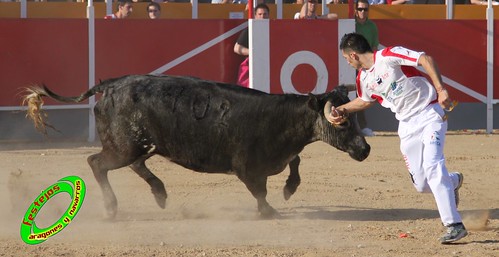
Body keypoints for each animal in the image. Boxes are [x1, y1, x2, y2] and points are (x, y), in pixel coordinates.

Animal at [22, 74, 372, 218]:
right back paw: (111, 208)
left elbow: (295, 163)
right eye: (341, 122)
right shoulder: (247, 168)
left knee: (135, 164)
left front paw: (288, 190)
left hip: (138, 145)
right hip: (123, 147)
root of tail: (109, 86)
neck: (280, 119)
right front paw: (270, 211)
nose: (365, 149)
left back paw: (160, 194)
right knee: (97, 163)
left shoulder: (277, 158)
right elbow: (260, 191)